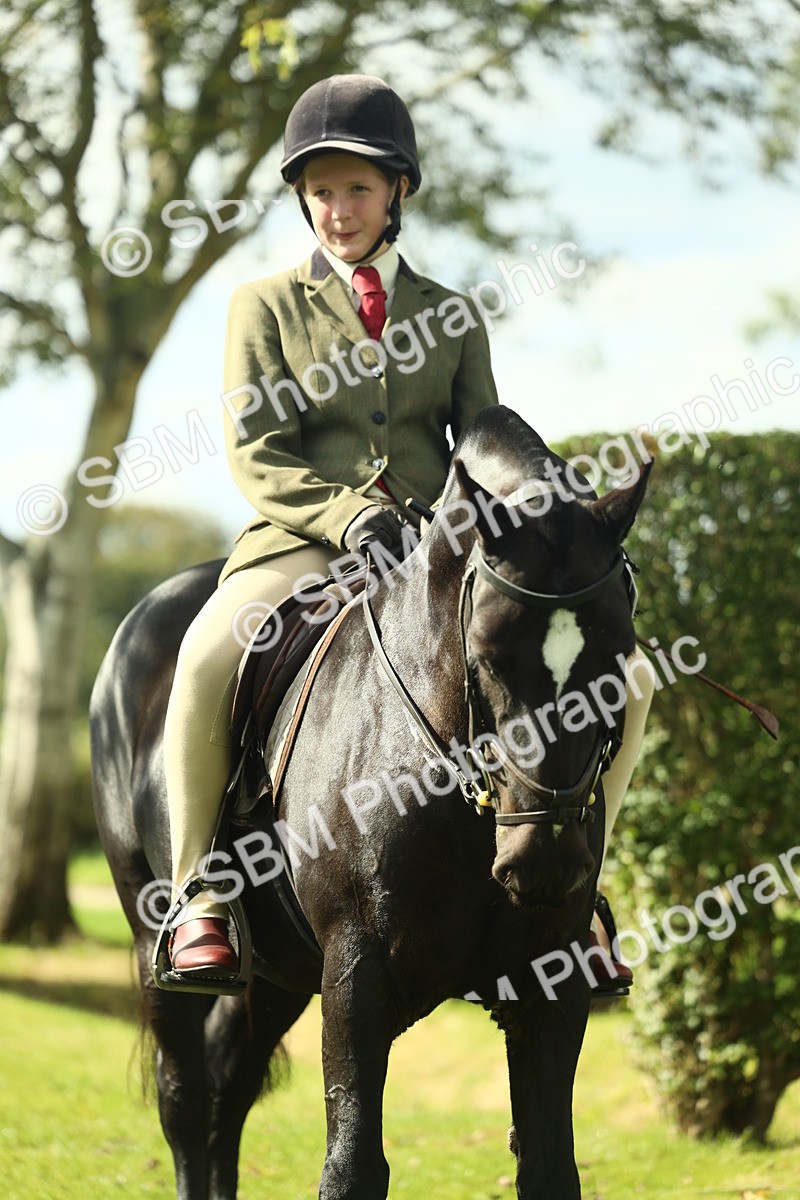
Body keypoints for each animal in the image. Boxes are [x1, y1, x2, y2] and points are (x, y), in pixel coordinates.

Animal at [90, 405, 651, 1200]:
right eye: (488, 654)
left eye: (618, 657)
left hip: (282, 972)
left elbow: (548, 1165)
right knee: (185, 1098)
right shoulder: (357, 976)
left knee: (230, 1090)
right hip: (153, 939)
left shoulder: (551, 984)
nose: (542, 857)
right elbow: (352, 1165)